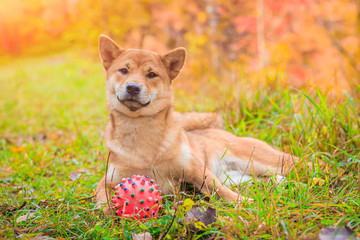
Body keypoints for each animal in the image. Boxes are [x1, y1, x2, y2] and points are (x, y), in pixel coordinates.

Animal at [95, 34, 298, 211]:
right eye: (123, 71)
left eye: (151, 74)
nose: (133, 87)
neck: (141, 131)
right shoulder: (108, 180)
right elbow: (104, 201)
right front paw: (113, 215)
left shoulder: (196, 170)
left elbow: (219, 190)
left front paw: (241, 202)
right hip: (237, 177)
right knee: (263, 179)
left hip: (261, 160)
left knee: (296, 163)